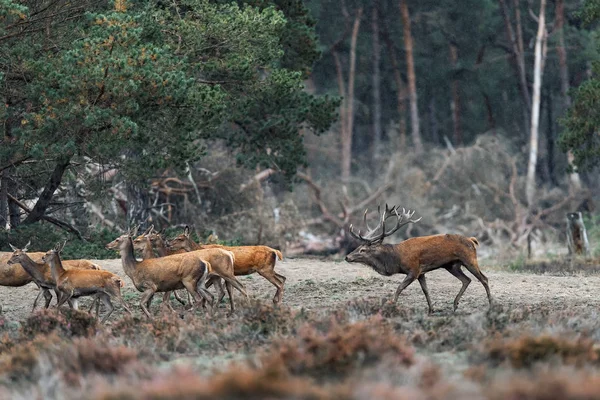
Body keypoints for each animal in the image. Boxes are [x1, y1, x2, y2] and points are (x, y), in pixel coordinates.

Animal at [344, 205, 490, 314]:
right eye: (358, 247)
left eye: (363, 250)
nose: (347, 257)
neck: (396, 259)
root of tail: (472, 240)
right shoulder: (421, 273)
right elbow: (425, 290)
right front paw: (431, 310)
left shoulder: (413, 270)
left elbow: (399, 287)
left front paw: (392, 306)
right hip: (451, 265)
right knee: (467, 280)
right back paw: (455, 305)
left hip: (469, 259)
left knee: (484, 279)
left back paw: (491, 304)